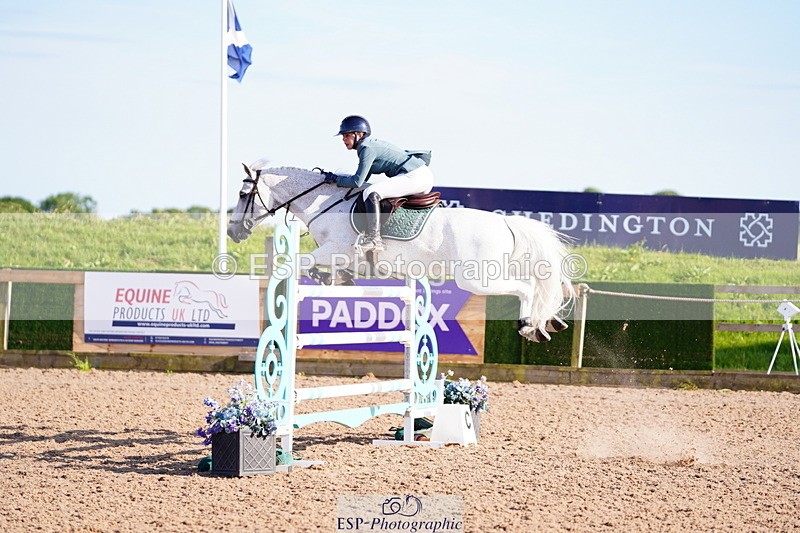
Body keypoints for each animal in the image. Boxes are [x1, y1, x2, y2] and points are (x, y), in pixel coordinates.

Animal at [227, 161, 575, 342]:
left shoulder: (335, 250)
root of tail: (505, 221)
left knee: (526, 287)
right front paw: (336, 280)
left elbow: (302, 263)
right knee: (537, 287)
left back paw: (529, 325)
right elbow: (322, 269)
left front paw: (323, 277)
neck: (324, 202)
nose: (232, 231)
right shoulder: (340, 257)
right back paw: (550, 323)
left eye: (244, 194)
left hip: (478, 279)